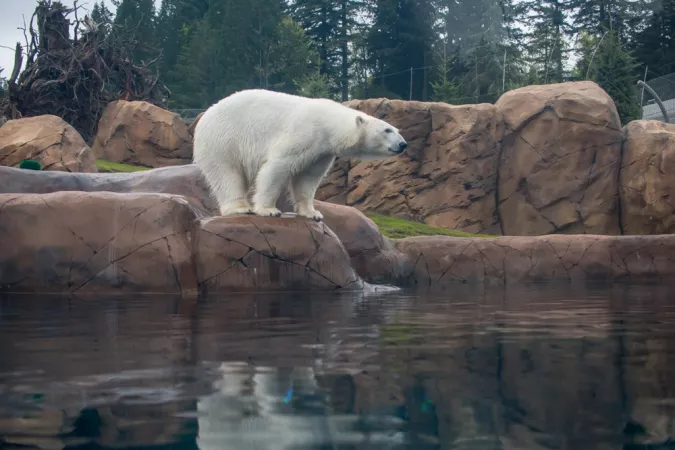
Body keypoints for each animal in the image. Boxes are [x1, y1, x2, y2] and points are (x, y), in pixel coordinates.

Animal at [193, 89, 410, 221]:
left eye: (396, 129)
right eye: (387, 130)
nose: (403, 144)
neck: (328, 123)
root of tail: (205, 116)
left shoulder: (322, 151)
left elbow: (307, 178)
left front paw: (312, 213)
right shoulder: (304, 132)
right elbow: (276, 168)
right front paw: (269, 210)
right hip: (223, 140)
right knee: (226, 174)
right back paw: (239, 207)